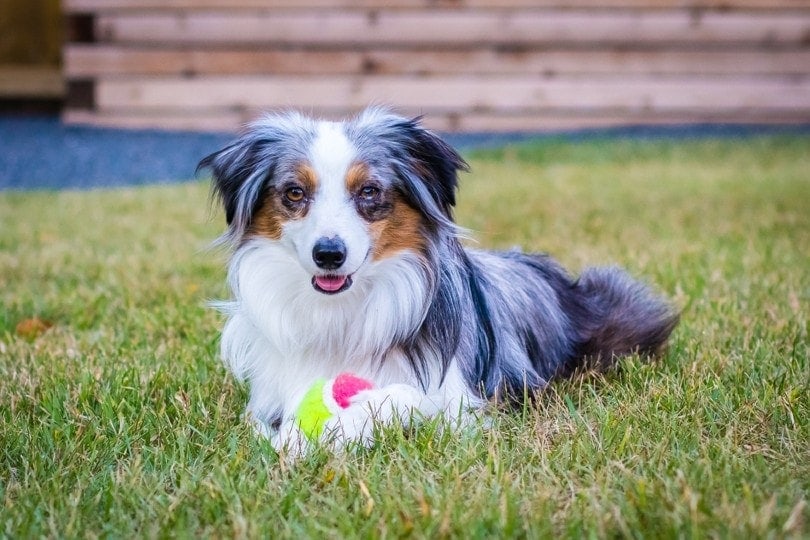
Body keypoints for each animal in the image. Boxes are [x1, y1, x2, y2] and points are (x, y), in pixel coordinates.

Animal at [199, 105, 680, 452]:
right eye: (294, 193)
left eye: (369, 191)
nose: (329, 254)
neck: (340, 310)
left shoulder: (457, 401)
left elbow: (400, 400)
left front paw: (325, 432)